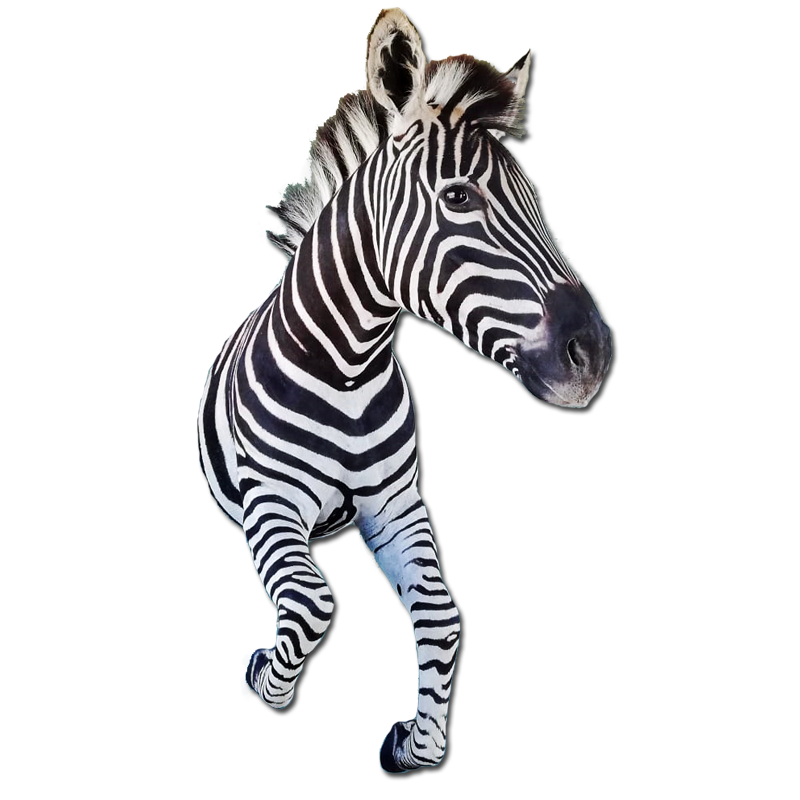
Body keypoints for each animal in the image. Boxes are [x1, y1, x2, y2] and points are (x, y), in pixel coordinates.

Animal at [199, 7, 611, 773]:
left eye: (537, 199)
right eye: (458, 197)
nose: (595, 355)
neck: (347, 365)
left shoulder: (394, 504)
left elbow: (443, 614)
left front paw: (417, 746)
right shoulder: (272, 501)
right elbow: (311, 603)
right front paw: (271, 682)